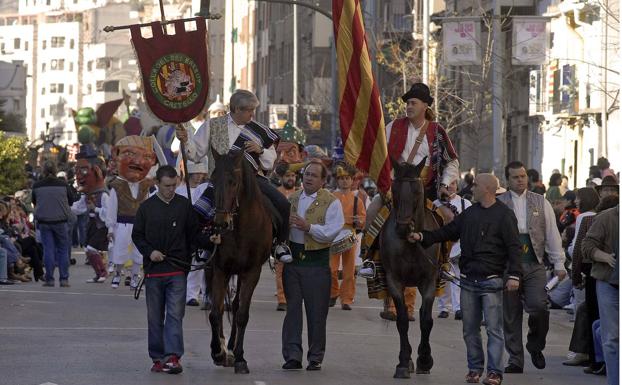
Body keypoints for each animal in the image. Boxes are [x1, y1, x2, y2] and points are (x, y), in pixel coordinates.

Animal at [208, 149, 272, 372]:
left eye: (233, 182)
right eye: (212, 180)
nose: (219, 223)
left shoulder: (252, 272)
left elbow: (242, 314)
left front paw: (240, 357)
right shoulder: (220, 269)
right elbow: (215, 312)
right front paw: (217, 352)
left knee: (236, 307)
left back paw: (231, 347)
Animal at [380, 158, 444, 378]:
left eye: (417, 191)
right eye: (395, 189)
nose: (402, 228)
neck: (411, 244)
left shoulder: (429, 281)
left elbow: (427, 320)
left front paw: (425, 359)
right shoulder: (394, 280)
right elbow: (402, 321)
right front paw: (403, 362)